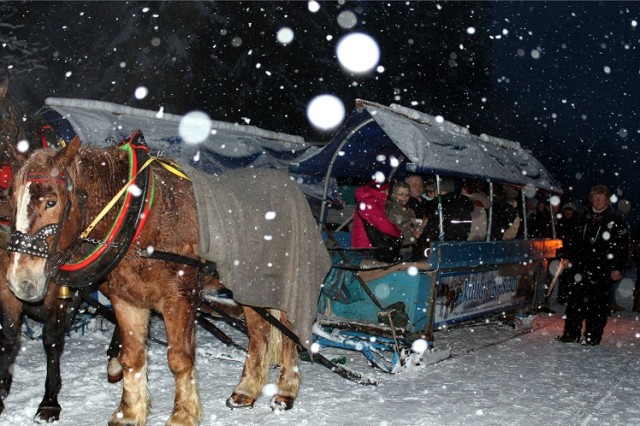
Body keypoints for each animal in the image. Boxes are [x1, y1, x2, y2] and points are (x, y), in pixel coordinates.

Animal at [6, 131, 330, 424]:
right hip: (248, 286)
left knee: (288, 336)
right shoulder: (126, 299)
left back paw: (286, 390)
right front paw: (129, 413)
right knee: (259, 333)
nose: (20, 281)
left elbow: (179, 359)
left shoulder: (180, 297)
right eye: (11, 199)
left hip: (285, 286)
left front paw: (182, 416)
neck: (142, 217)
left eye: (51, 202)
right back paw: (247, 389)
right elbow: (132, 357)